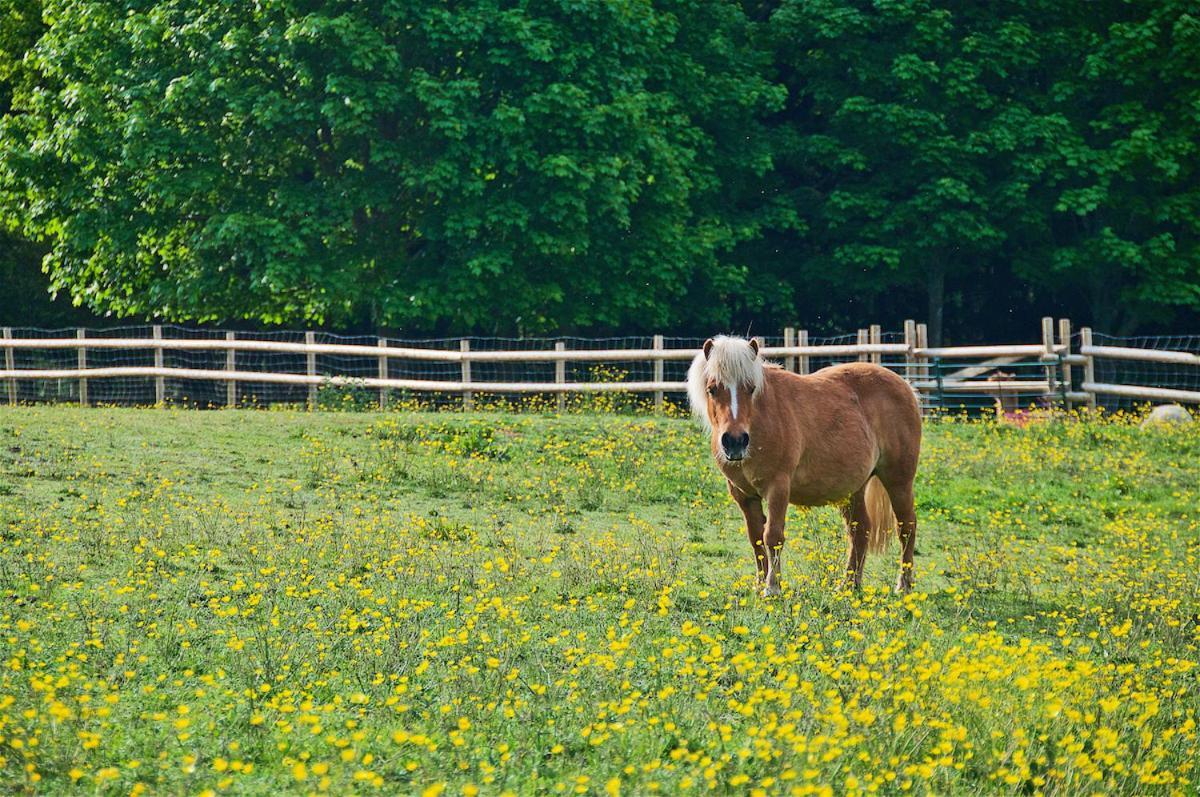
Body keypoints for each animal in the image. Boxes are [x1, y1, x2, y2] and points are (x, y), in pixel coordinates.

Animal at [691, 333, 921, 590]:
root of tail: (905, 386)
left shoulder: (778, 488)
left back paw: (903, 584)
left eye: (750, 389)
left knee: (907, 526)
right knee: (860, 530)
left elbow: (772, 536)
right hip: (853, 490)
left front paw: (772, 587)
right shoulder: (744, 495)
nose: (735, 441)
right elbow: (756, 538)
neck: (761, 420)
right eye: (712, 389)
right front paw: (759, 584)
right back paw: (849, 585)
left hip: (899, 480)